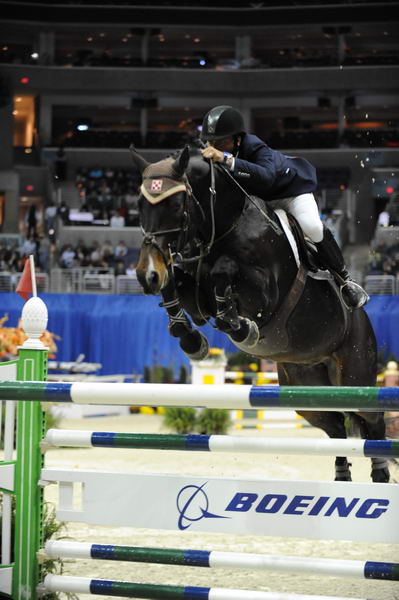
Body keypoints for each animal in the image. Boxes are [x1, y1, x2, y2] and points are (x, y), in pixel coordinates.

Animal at [130, 144, 390, 482]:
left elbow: (225, 276)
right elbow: (176, 286)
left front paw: (243, 328)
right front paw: (191, 340)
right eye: (139, 204)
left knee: (372, 421)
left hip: (355, 375)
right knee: (335, 426)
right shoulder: (194, 291)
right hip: (306, 391)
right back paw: (342, 476)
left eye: (175, 204)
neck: (224, 225)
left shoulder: (266, 294)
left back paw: (380, 473)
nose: (146, 274)